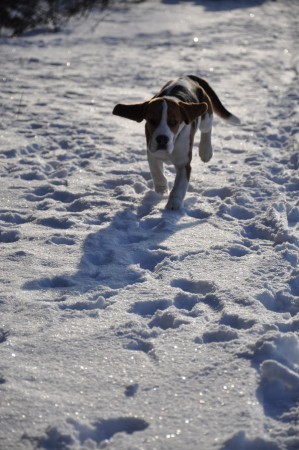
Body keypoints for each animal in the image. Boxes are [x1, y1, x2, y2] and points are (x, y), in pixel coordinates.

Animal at [113, 75, 241, 211]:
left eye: (174, 122)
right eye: (152, 120)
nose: (162, 139)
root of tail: (187, 76)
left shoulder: (184, 164)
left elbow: (179, 187)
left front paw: (173, 205)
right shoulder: (152, 152)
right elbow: (156, 172)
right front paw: (162, 189)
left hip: (206, 114)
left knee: (207, 129)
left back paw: (205, 151)